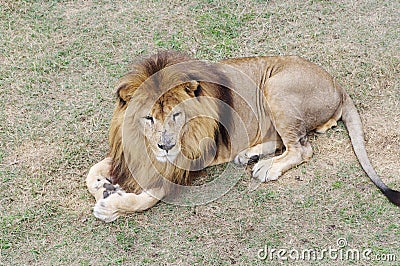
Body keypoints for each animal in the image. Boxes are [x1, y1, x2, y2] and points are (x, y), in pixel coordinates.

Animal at [86, 51, 398, 221]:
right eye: (148, 118)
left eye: (177, 115)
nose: (166, 146)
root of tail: (338, 86)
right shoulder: (128, 150)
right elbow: (92, 172)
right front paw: (104, 187)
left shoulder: (190, 161)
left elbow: (151, 196)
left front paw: (110, 206)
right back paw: (250, 155)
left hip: (276, 86)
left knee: (301, 149)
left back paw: (266, 168)